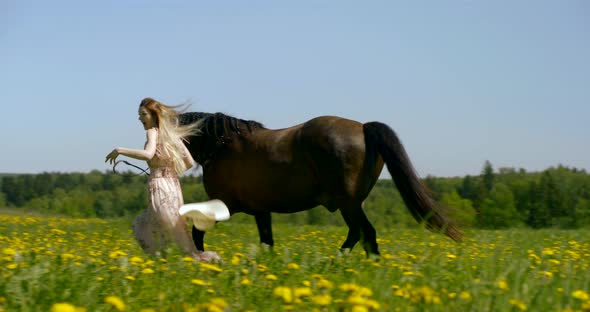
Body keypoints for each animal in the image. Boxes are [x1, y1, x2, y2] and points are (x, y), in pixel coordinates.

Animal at [180, 112, 462, 256]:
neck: (221, 146)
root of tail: (364, 128)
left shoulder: (223, 205)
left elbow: (196, 232)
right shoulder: (261, 211)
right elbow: (267, 241)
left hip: (349, 203)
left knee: (366, 234)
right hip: (353, 204)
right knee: (359, 234)